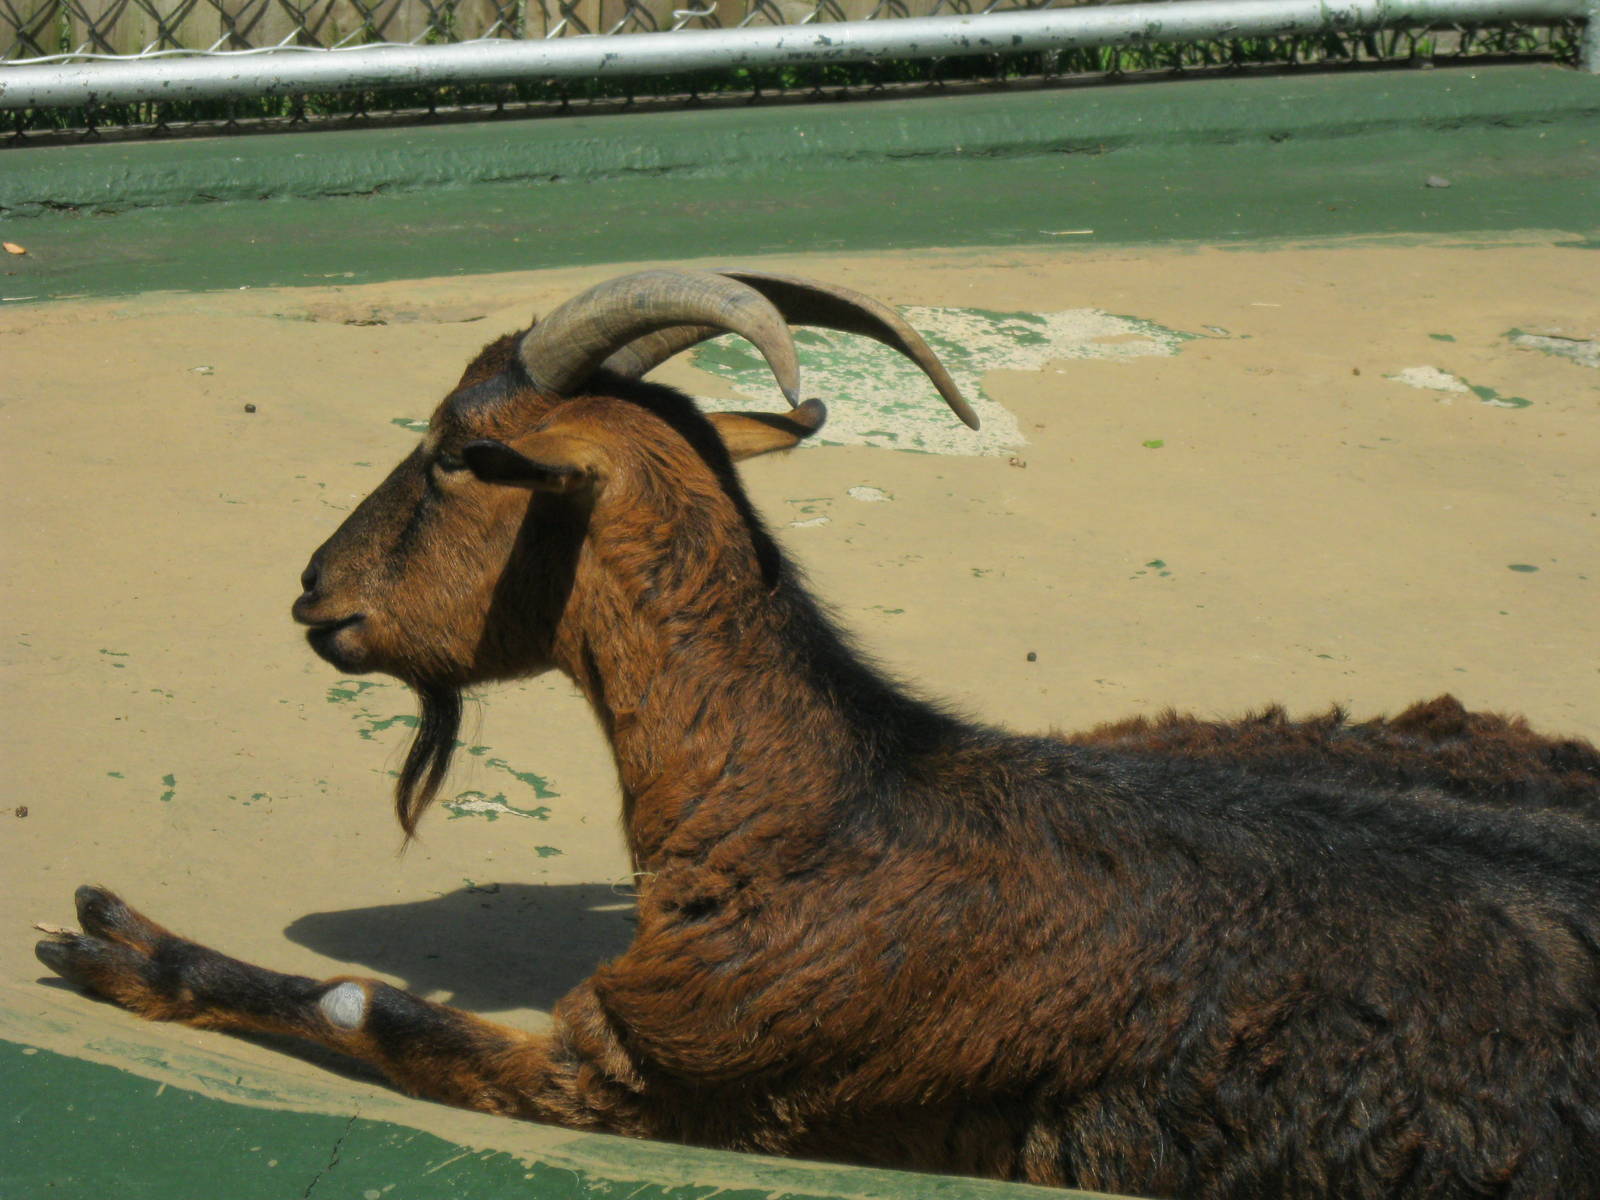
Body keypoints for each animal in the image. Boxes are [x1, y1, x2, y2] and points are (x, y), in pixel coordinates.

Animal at [38, 268, 1600, 1198]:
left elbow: (371, 1009)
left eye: (449, 455)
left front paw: (114, 945)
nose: (315, 594)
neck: (832, 814)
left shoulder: (637, 1077)